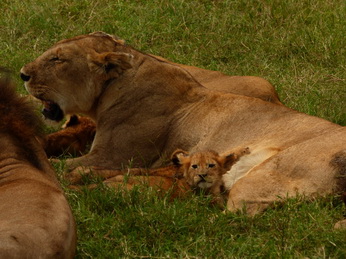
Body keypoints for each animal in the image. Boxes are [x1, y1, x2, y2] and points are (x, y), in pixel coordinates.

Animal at [20, 32, 344, 215]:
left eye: (58, 59)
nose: (23, 74)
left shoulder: (113, 156)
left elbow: (57, 166)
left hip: (265, 174)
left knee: (235, 216)